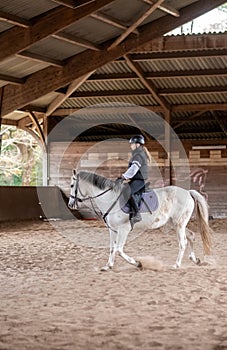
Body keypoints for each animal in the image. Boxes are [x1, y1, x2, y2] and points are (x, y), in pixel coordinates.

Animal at [68, 170, 212, 270]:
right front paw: (108, 266)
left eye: (71, 185)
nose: (70, 204)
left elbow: (119, 250)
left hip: (179, 224)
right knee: (191, 236)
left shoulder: (124, 230)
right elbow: (112, 248)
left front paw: (138, 263)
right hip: (176, 224)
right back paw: (195, 260)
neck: (110, 198)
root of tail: (188, 192)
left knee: (183, 243)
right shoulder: (113, 230)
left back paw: (176, 265)